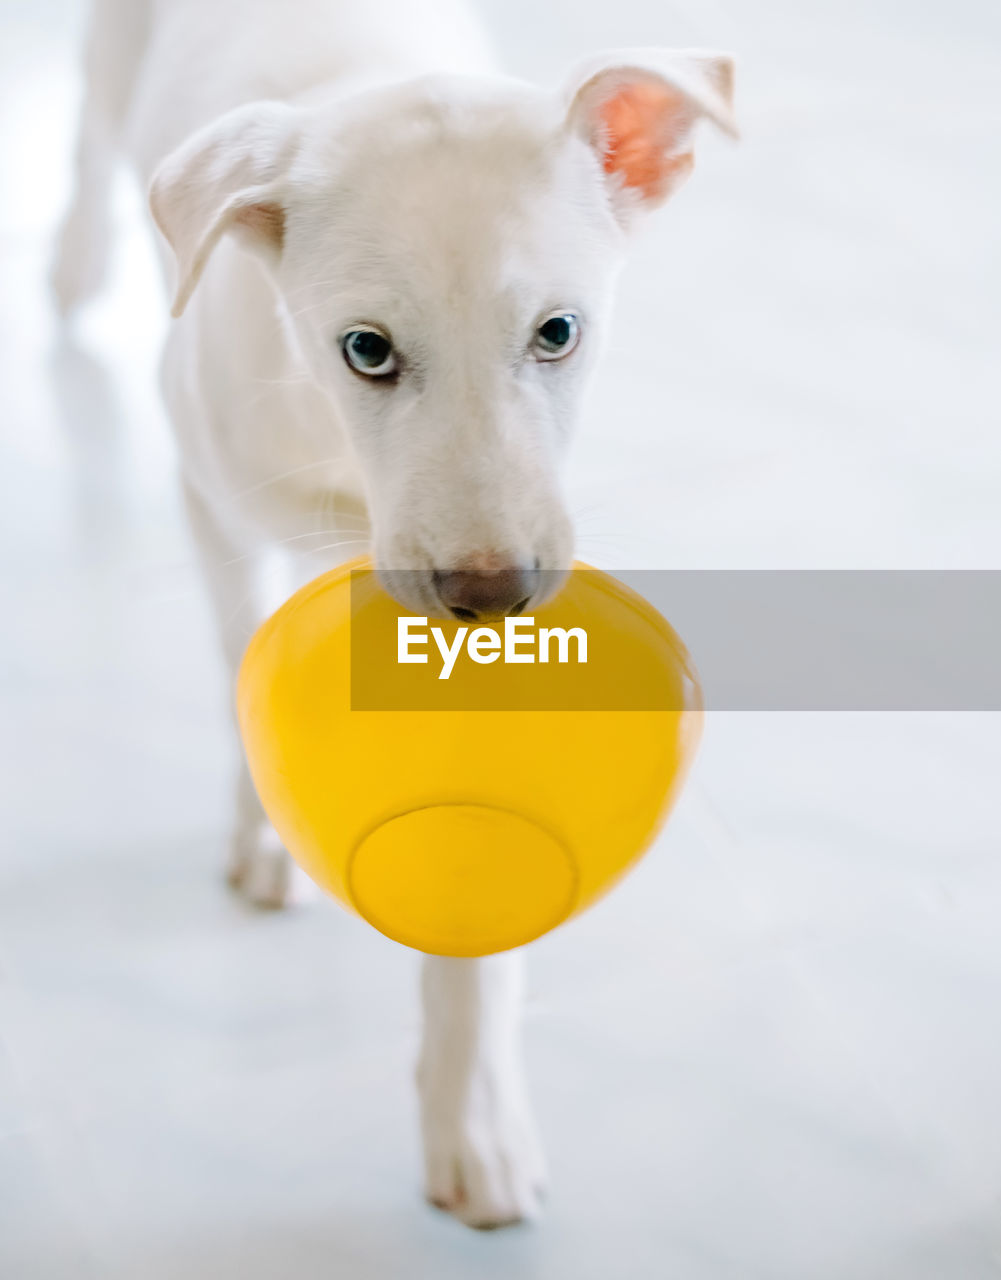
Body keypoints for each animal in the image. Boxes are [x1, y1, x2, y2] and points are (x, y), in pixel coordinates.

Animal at [55, 0, 732, 1228]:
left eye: (558, 332)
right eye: (365, 349)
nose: (488, 593)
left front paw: (475, 1119)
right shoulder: (214, 501)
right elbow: (241, 658)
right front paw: (264, 829)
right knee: (90, 126)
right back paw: (74, 262)